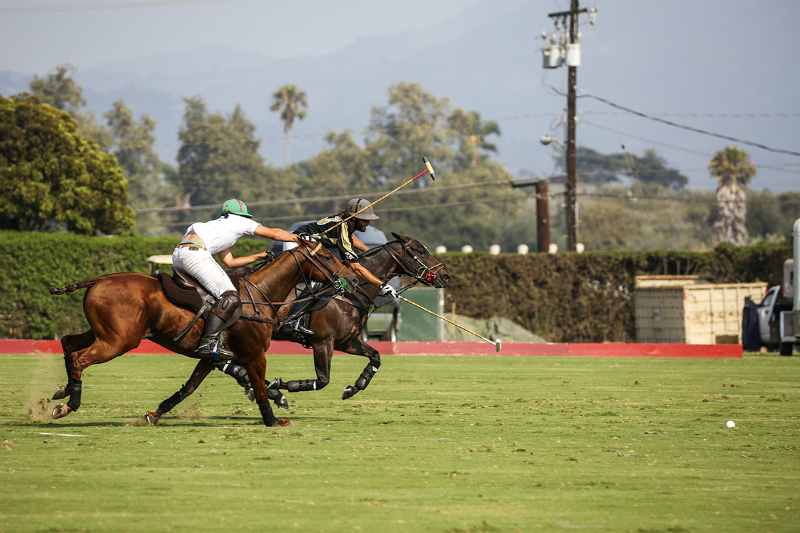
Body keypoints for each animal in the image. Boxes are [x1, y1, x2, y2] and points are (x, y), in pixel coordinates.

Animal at [47, 241, 354, 428]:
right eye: (327, 256)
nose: (350, 279)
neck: (260, 296)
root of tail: (99, 279)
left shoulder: (210, 357)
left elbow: (189, 388)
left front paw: (154, 414)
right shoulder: (254, 354)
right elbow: (258, 385)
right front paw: (273, 419)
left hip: (104, 332)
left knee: (68, 344)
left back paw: (63, 390)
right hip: (120, 340)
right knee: (79, 358)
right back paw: (69, 404)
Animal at [145, 234, 450, 424]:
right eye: (420, 250)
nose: (445, 276)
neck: (352, 293)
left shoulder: (347, 341)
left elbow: (375, 356)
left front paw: (354, 387)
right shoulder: (323, 342)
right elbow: (322, 380)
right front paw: (279, 387)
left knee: (216, 361)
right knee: (219, 360)